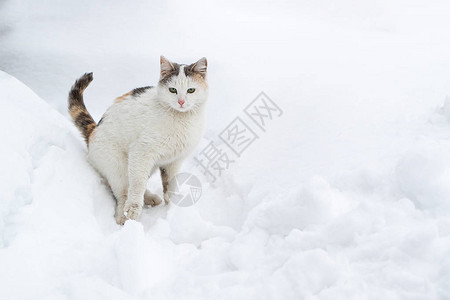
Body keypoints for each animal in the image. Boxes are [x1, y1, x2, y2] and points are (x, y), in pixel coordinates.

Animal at [67, 56, 208, 225]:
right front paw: (132, 209)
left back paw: (150, 198)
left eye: (191, 90)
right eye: (172, 90)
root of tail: (93, 131)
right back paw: (123, 215)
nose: (181, 102)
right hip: (117, 164)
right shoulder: (141, 151)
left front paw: (173, 208)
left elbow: (171, 184)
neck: (181, 120)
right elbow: (137, 184)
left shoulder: (174, 161)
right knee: (123, 189)